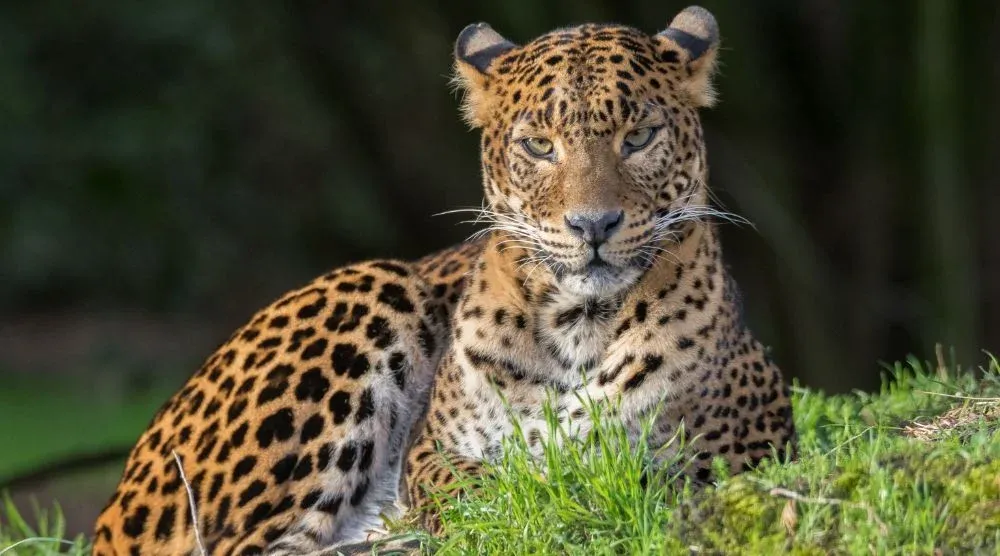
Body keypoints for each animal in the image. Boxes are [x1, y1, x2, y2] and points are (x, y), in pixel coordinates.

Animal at [92, 5, 795, 555]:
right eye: (539, 146)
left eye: (640, 136)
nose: (593, 224)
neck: (578, 324)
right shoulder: (429, 449)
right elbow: (479, 486)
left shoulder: (738, 451)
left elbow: (620, 476)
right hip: (375, 283)